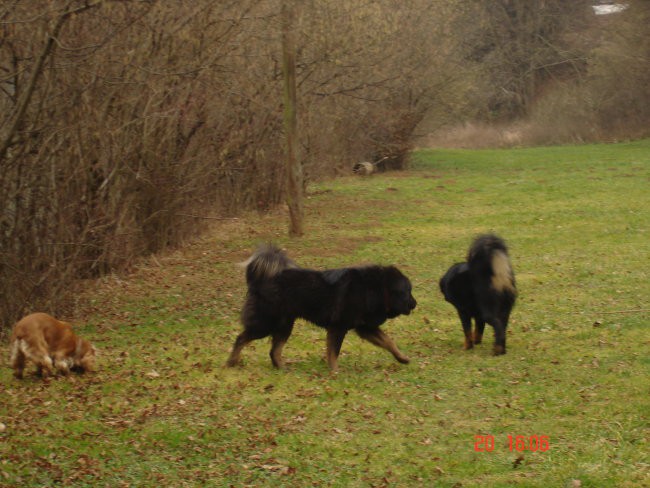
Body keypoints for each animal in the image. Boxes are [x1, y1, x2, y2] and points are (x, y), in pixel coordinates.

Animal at [225, 242, 416, 372]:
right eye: (408, 291)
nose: (415, 304)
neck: (376, 288)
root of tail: (258, 281)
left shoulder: (365, 328)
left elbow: (389, 341)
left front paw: (402, 358)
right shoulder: (338, 328)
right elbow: (333, 352)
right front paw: (335, 372)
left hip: (284, 326)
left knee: (274, 351)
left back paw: (282, 368)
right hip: (266, 324)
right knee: (241, 339)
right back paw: (232, 362)